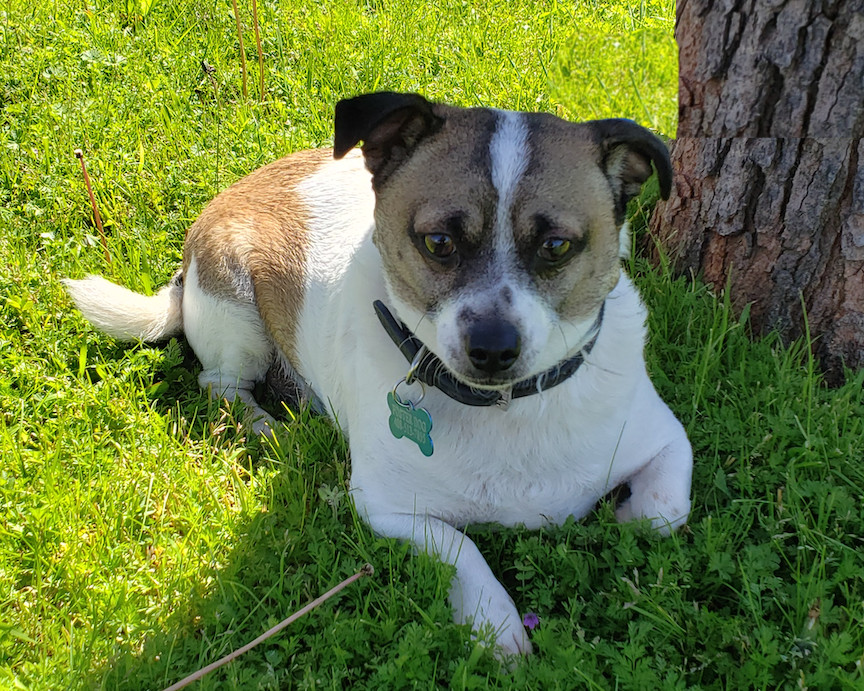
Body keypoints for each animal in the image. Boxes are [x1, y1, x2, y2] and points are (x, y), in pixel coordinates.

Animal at [64, 93, 692, 660]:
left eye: (557, 246)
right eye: (438, 242)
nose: (492, 347)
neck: (504, 406)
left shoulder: (667, 439)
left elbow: (664, 512)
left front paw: (624, 517)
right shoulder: (387, 510)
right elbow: (461, 549)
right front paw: (496, 626)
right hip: (238, 311)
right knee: (219, 386)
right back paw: (271, 426)